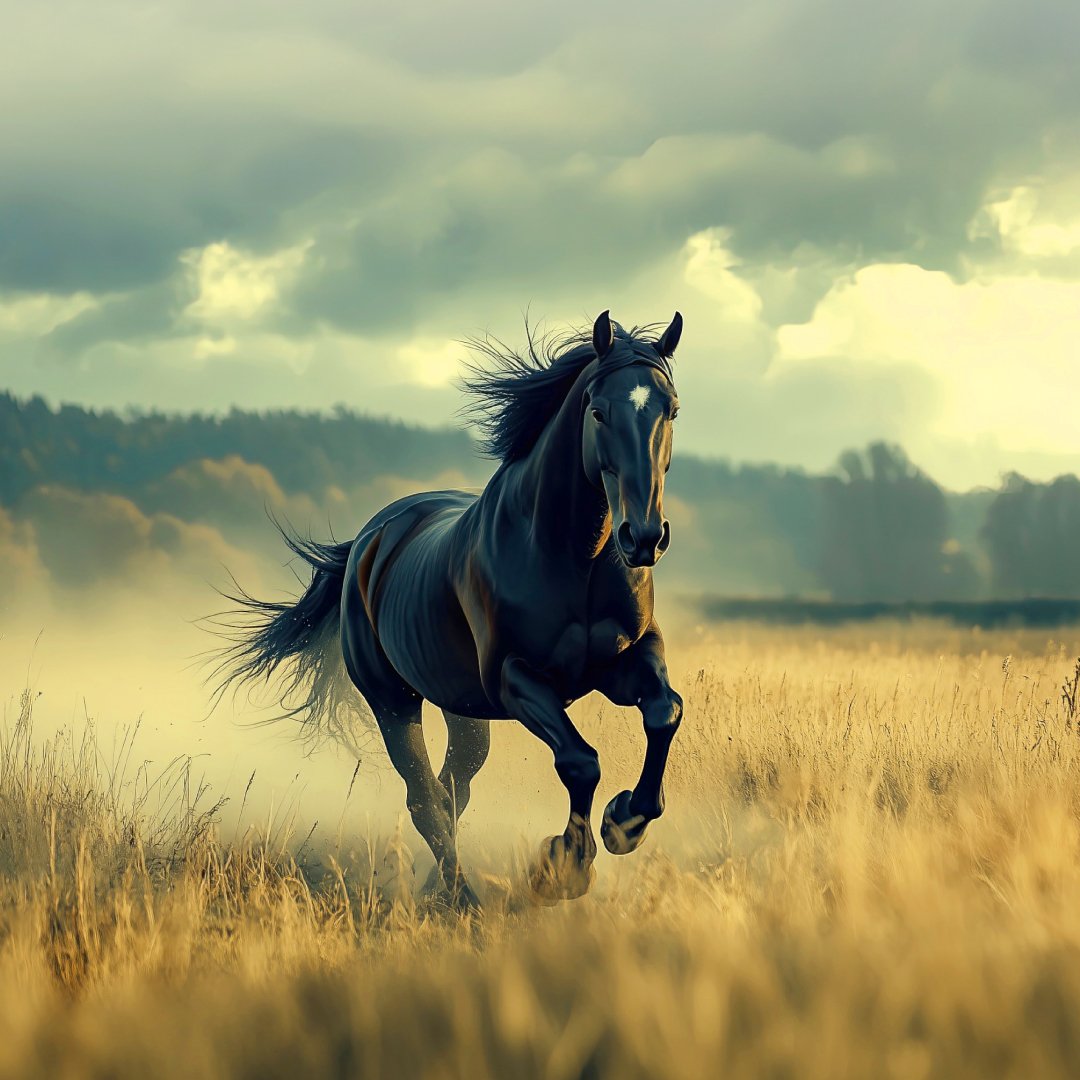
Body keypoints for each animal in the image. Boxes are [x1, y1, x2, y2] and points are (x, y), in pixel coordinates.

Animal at [212, 310, 685, 910]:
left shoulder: (627, 658)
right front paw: (563, 869)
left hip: (461, 706)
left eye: (671, 410)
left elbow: (664, 712)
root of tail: (370, 538)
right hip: (392, 701)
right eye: (598, 412)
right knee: (425, 798)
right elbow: (580, 762)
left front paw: (626, 821)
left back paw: (442, 889)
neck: (572, 559)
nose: (643, 537)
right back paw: (462, 900)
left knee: (452, 787)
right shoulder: (516, 679)